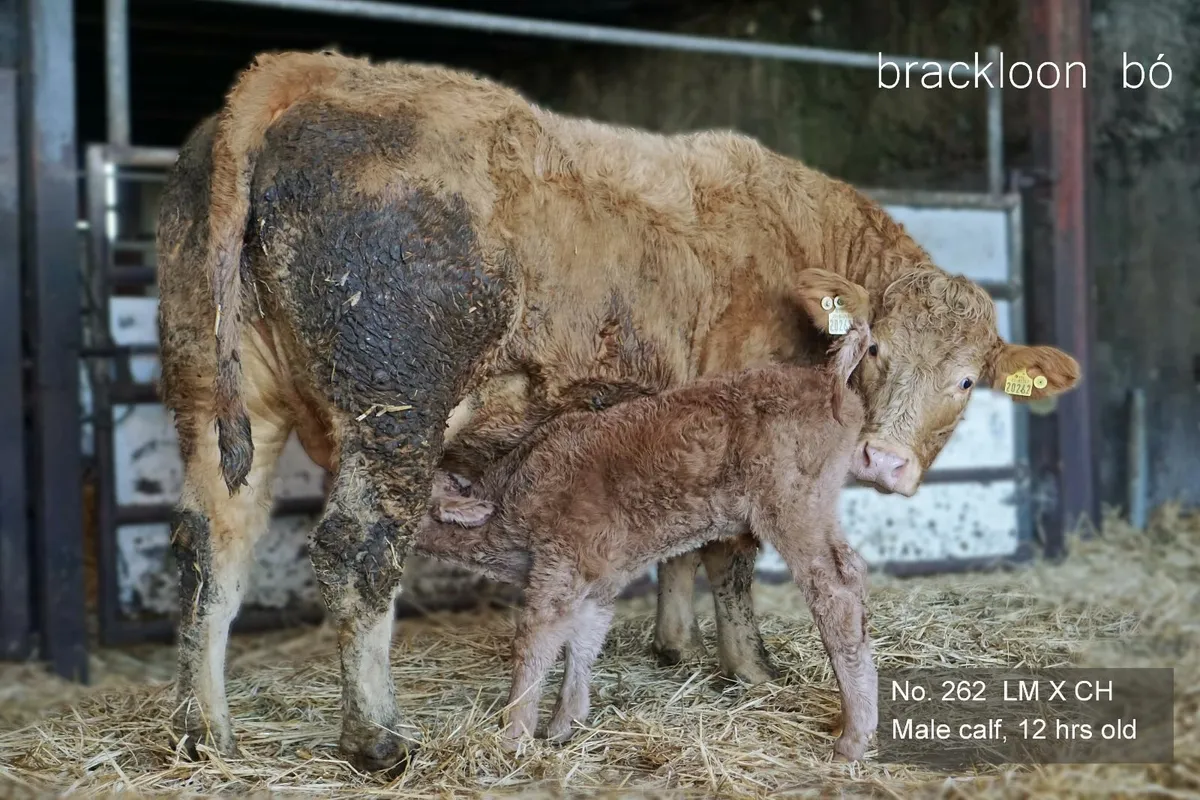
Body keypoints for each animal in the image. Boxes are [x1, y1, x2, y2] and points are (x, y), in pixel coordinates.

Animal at [415, 320, 880, 760]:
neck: (511, 494)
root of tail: (828, 377)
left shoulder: (559, 563)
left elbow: (536, 642)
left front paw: (514, 735)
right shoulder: (598, 578)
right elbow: (584, 640)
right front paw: (565, 725)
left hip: (792, 504)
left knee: (834, 590)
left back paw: (852, 739)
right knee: (853, 571)